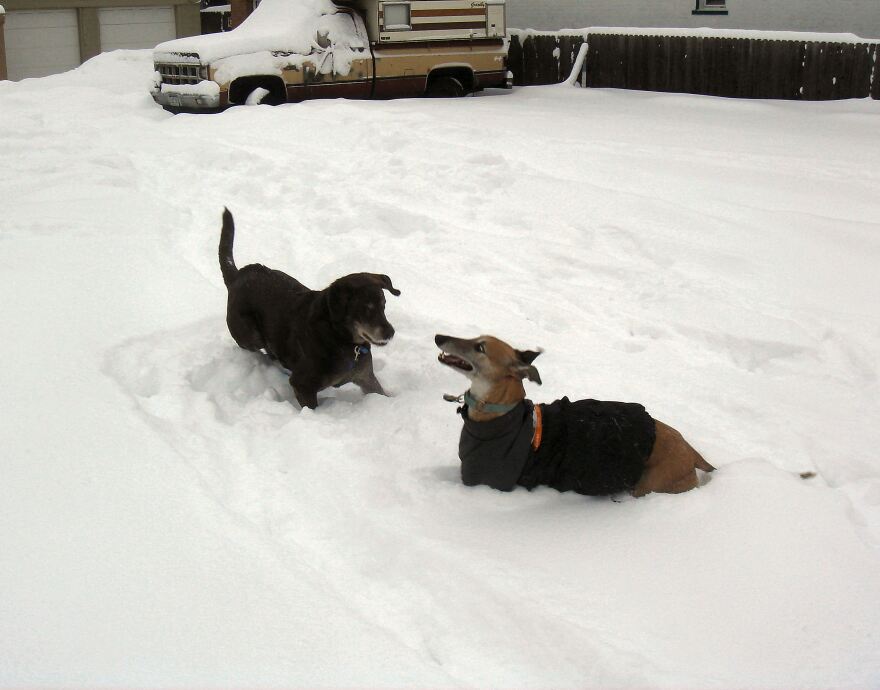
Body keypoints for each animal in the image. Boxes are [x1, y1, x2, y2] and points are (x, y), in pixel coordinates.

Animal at [218, 207, 400, 406]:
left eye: (383, 305)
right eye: (365, 309)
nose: (390, 332)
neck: (342, 339)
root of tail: (237, 276)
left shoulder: (366, 377)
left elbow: (381, 393)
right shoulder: (302, 385)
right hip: (250, 333)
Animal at [434, 332, 716, 494]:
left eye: (480, 347)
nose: (438, 336)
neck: (501, 416)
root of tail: (691, 453)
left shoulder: (486, 482)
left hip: (648, 485)